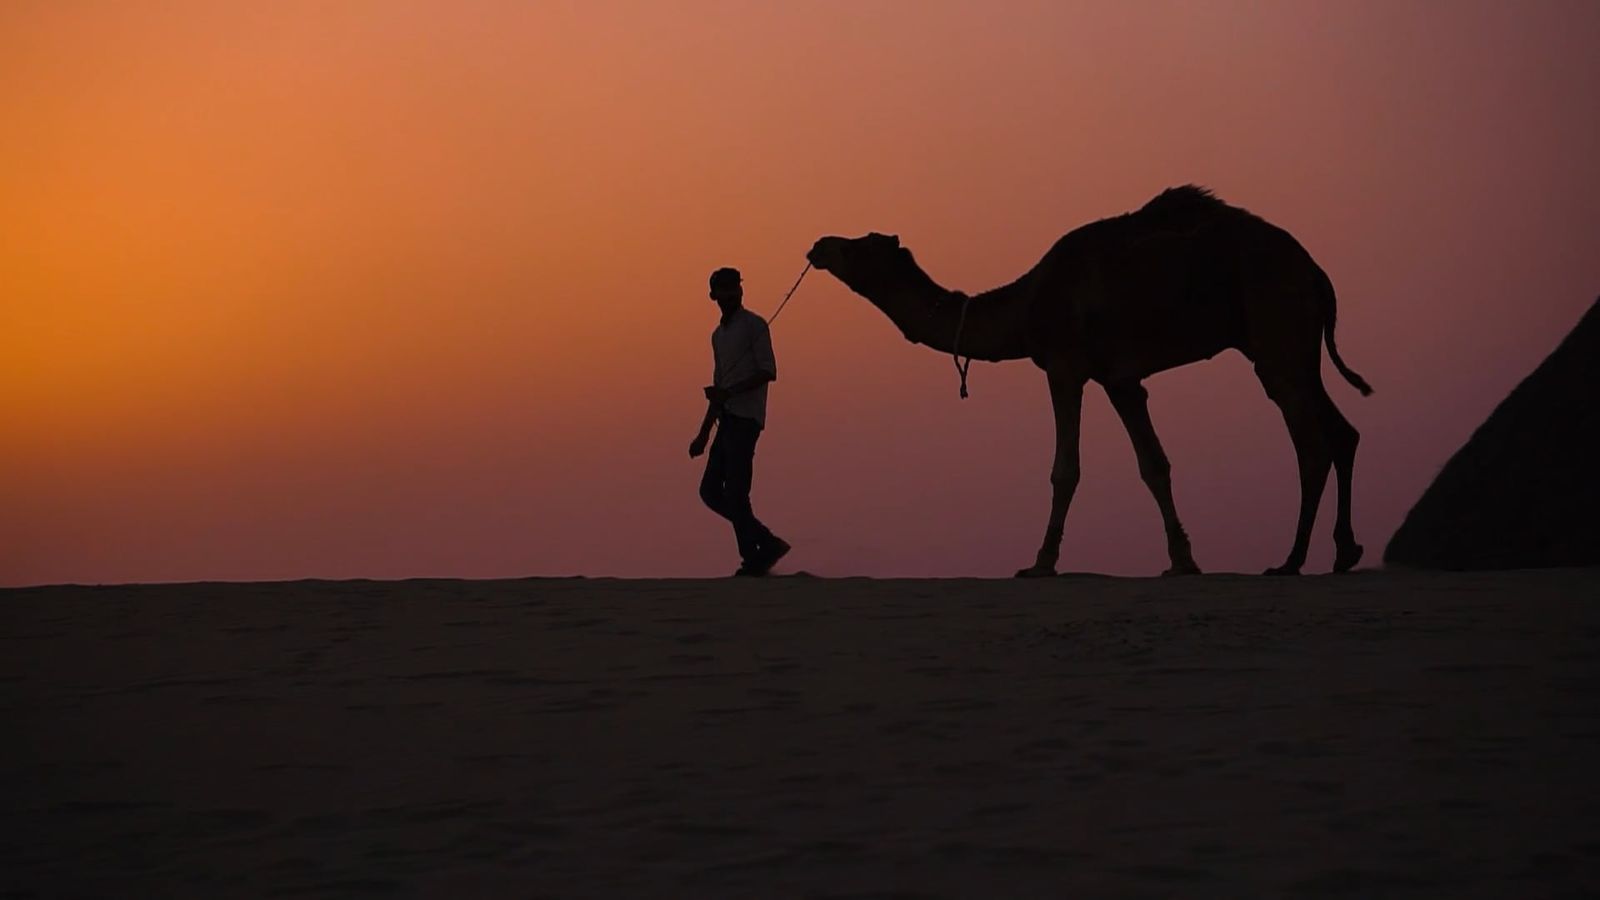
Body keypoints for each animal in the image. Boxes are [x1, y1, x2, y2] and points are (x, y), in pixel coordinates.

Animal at [806, 186, 1373, 577]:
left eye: (859, 246)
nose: (819, 245)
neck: (1026, 305)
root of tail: (1316, 271)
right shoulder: (1121, 380)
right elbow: (1154, 465)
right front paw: (1182, 560)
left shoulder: (1064, 366)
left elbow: (1066, 469)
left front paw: (1040, 563)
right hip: (1294, 345)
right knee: (1341, 431)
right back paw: (1345, 551)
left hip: (1275, 332)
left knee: (1311, 442)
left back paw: (1291, 560)